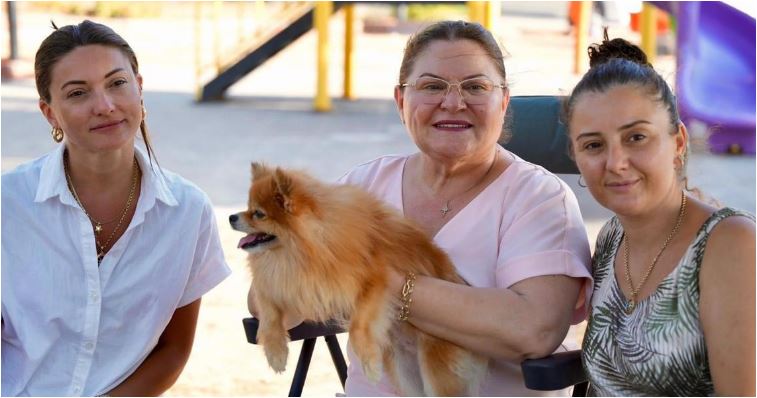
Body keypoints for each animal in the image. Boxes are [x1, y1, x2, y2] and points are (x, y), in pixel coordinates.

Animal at [230, 163, 488, 396]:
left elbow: (359, 323)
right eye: (248, 207)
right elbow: (269, 312)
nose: (231, 216)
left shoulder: (378, 281)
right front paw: (276, 352)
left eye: (258, 214)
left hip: (436, 371)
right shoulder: (282, 284)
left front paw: (368, 360)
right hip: (404, 374)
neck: (296, 250)